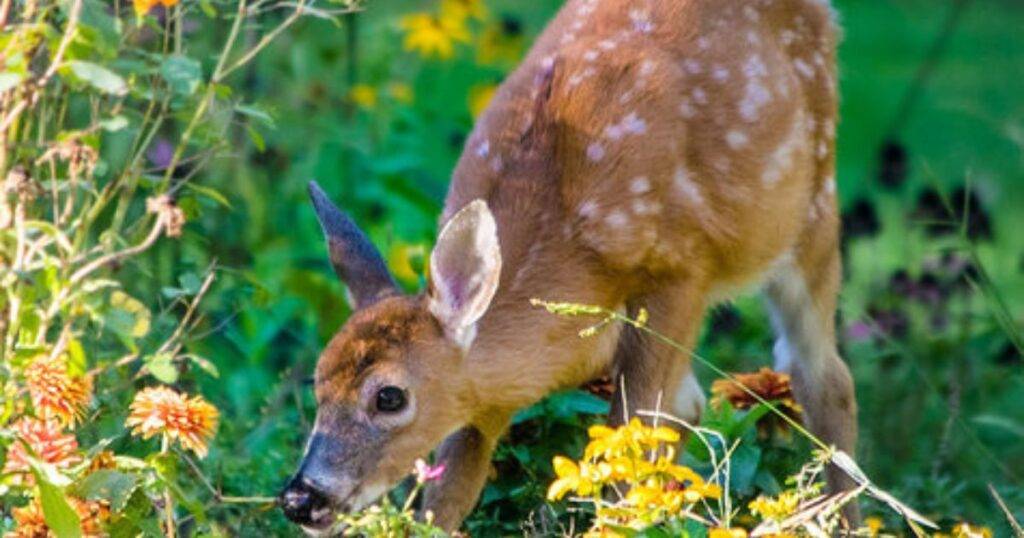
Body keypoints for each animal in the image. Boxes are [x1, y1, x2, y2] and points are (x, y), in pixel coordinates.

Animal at [280, 0, 857, 533]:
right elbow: (451, 491)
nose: (301, 499)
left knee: (823, 376)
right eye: (317, 381)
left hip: (812, 207)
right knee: (698, 404)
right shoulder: (482, 396)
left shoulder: (680, 272)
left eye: (390, 396)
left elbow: (631, 436)